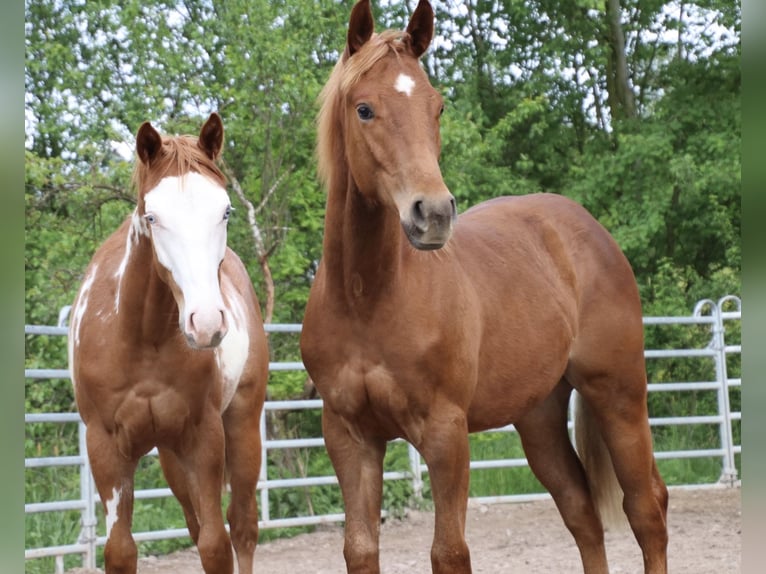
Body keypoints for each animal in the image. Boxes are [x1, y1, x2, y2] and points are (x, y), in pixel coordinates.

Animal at [67, 113, 270, 574]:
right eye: (153, 216)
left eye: (225, 211)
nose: (207, 322)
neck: (142, 339)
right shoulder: (105, 447)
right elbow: (121, 551)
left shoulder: (203, 436)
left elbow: (216, 544)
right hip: (169, 454)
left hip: (242, 422)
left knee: (242, 526)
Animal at [304, 2, 668, 572]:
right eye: (364, 109)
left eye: (437, 107)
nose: (432, 213)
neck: (367, 302)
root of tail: (590, 231)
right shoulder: (349, 437)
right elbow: (360, 548)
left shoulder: (445, 433)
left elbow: (449, 551)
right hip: (539, 415)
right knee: (582, 512)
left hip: (619, 394)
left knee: (646, 508)